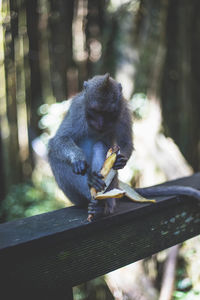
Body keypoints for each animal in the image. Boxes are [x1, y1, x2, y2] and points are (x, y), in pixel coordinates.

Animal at [48, 72, 200, 218]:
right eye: (95, 111)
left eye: (108, 113)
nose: (100, 123)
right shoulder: (77, 109)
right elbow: (60, 139)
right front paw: (78, 159)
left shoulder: (123, 110)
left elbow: (126, 142)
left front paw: (121, 160)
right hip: (75, 197)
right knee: (54, 154)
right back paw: (92, 185)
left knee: (99, 145)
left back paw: (103, 205)